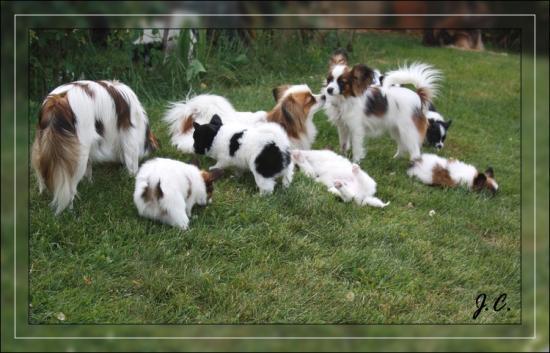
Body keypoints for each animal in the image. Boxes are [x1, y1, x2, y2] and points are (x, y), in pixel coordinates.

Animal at [31, 80, 158, 213]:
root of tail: (56, 101)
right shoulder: (130, 139)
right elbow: (132, 164)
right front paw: (132, 178)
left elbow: (89, 168)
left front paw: (89, 183)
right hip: (79, 155)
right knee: (70, 189)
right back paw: (70, 211)